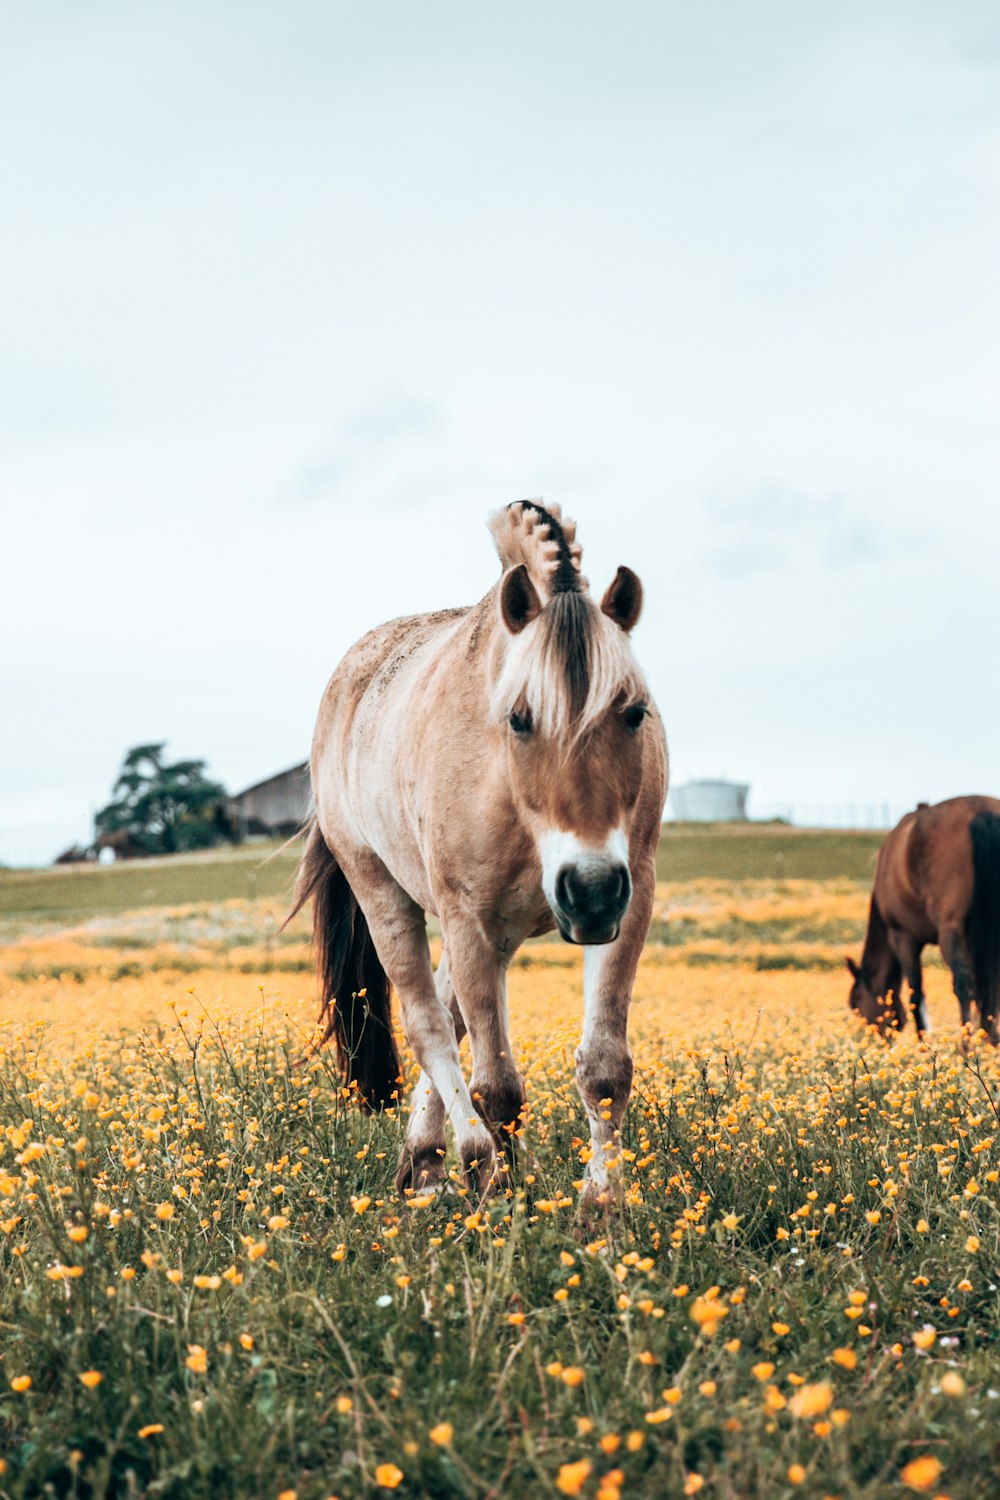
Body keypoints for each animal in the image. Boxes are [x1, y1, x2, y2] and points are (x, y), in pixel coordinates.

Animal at [284, 504, 668, 1206]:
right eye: (518, 718)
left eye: (633, 712)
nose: (590, 890)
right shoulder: (467, 919)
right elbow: (497, 1086)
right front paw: (510, 1198)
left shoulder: (629, 902)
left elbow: (604, 1068)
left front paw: (600, 1204)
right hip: (387, 897)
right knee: (428, 1022)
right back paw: (465, 1161)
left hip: (501, 934)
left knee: (447, 1009)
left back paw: (426, 1159)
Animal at [851, 798, 1000, 1044]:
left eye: (855, 1005)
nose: (876, 1041)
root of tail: (983, 812)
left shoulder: (903, 938)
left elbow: (916, 996)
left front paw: (925, 1042)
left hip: (950, 931)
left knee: (963, 984)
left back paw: (967, 1044)